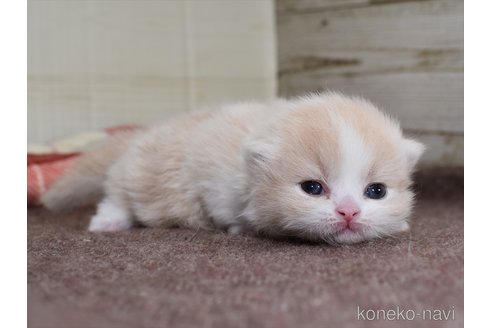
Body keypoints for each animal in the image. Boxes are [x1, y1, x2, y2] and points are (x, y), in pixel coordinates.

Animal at [42, 92, 424, 243]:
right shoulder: (214, 183)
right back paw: (108, 222)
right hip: (141, 175)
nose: (349, 212)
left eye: (376, 192)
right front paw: (242, 228)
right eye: (313, 188)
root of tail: (143, 134)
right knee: (117, 195)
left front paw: (399, 223)